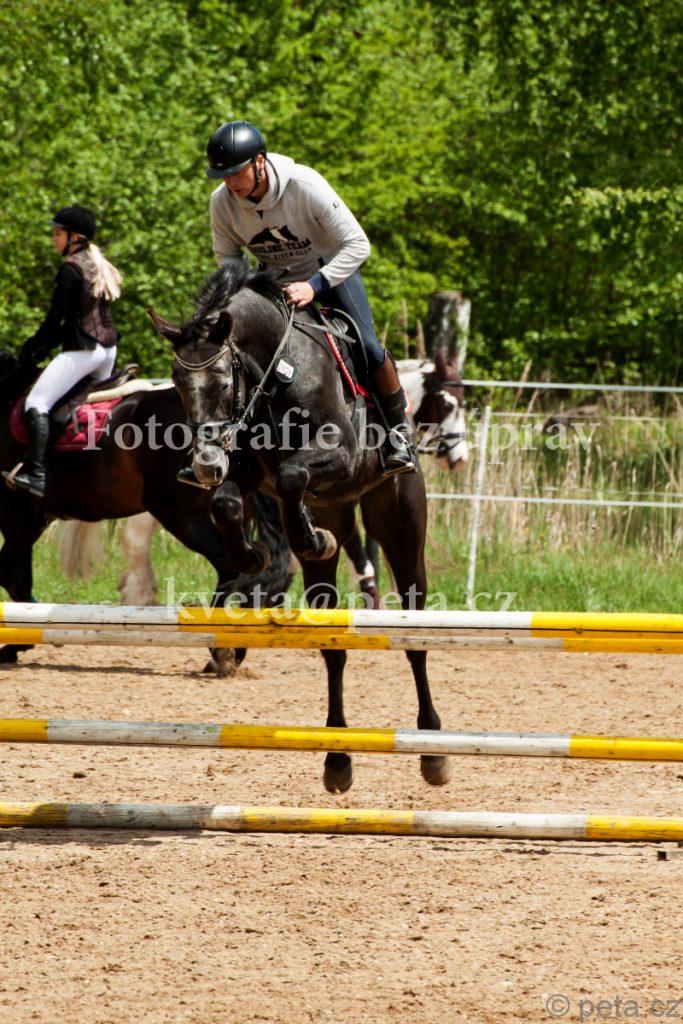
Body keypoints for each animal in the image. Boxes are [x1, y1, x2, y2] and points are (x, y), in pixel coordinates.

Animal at [0, 351, 292, 674]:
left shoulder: (15, 516)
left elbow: (18, 577)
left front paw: (15, 644)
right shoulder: (34, 520)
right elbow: (8, 575)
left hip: (181, 516)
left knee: (230, 566)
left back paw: (221, 648)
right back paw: (234, 645)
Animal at [150, 264, 452, 793]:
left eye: (224, 381)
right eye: (177, 383)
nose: (205, 464)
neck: (276, 372)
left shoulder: (338, 455)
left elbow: (292, 475)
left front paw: (304, 537)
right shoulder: (248, 467)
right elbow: (229, 502)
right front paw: (254, 555)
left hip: (400, 525)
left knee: (414, 632)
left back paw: (432, 749)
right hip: (335, 522)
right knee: (333, 649)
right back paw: (337, 759)